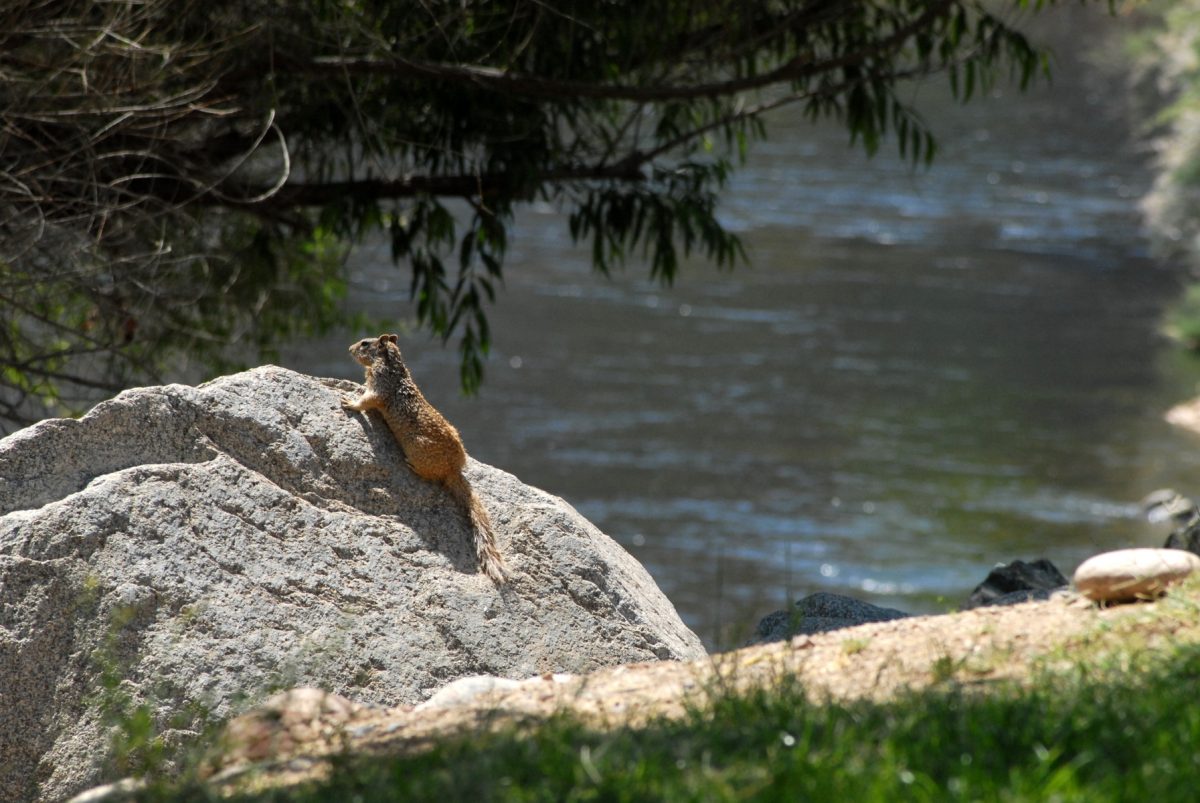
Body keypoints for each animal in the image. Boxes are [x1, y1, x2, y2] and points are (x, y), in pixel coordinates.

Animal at [343, 331, 506, 583]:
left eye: (365, 343)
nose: (350, 349)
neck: (393, 366)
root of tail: (454, 470)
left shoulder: (380, 386)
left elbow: (367, 400)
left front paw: (349, 402)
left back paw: (412, 466)